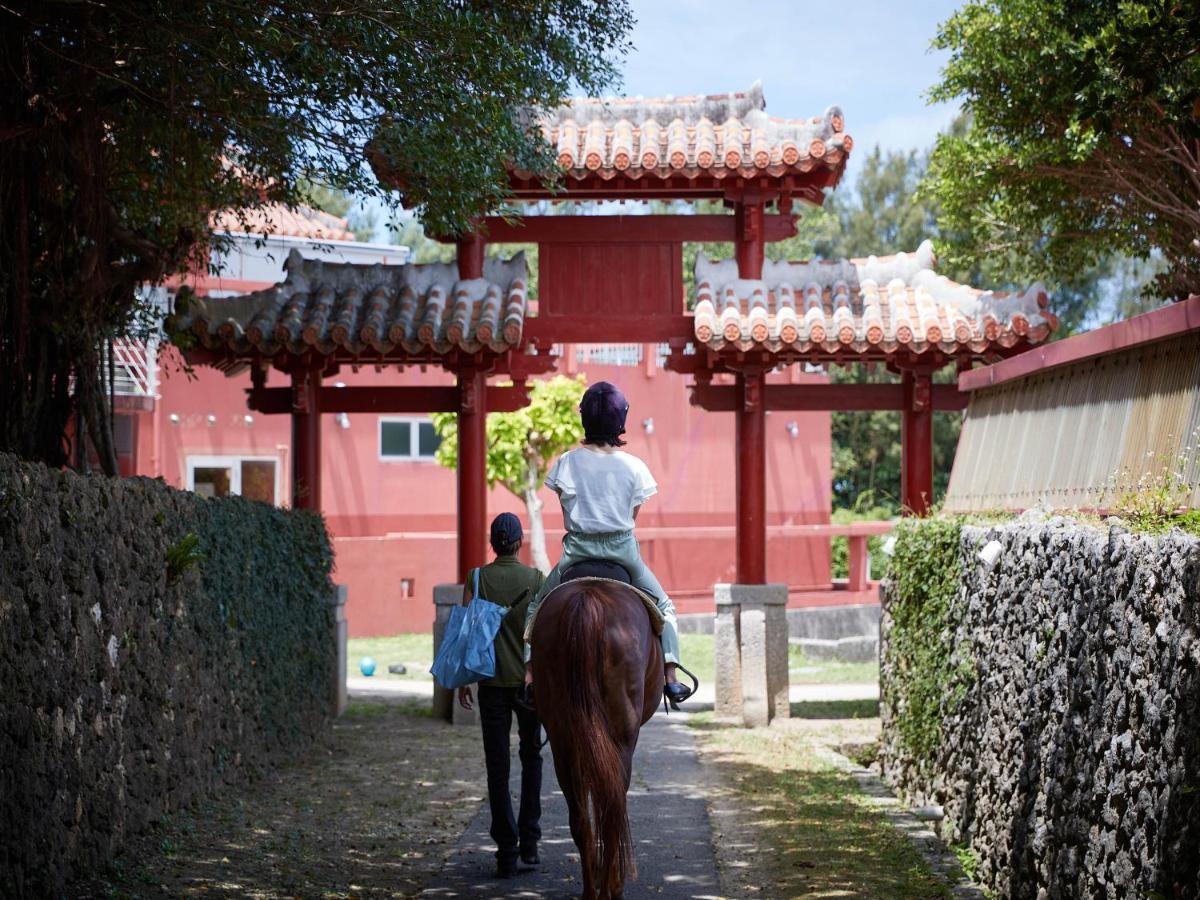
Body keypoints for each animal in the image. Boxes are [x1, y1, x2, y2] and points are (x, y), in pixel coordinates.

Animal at [532, 578, 667, 900]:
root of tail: (588, 602)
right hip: (621, 735)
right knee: (612, 809)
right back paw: (610, 888)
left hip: (563, 738)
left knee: (581, 817)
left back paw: (590, 890)